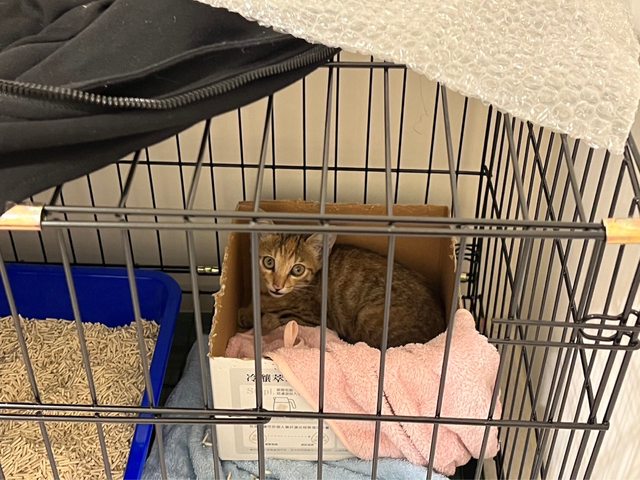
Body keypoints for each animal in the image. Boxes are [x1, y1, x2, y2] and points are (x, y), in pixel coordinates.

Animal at [237, 229, 446, 348]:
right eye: (269, 262)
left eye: (297, 269)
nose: (277, 286)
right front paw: (245, 313)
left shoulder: (314, 320)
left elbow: (276, 319)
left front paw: (261, 320)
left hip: (367, 316)